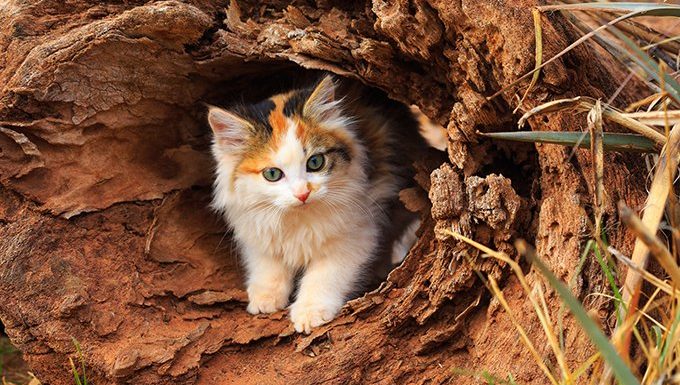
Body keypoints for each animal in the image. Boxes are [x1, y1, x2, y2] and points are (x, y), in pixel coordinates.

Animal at [207, 75, 424, 332]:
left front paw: (310, 312)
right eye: (272, 174)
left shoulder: (355, 234)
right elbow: (268, 265)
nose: (302, 194)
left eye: (315, 162)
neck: (297, 216)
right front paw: (264, 298)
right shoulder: (256, 229)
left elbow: (323, 276)